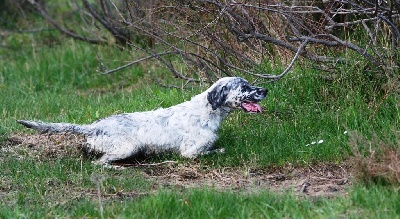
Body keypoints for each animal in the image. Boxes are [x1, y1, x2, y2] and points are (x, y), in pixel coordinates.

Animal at [19, 77, 268, 164]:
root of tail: (94, 126)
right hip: (128, 147)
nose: (265, 89)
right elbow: (216, 151)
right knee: (99, 163)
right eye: (244, 87)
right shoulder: (189, 152)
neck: (208, 111)